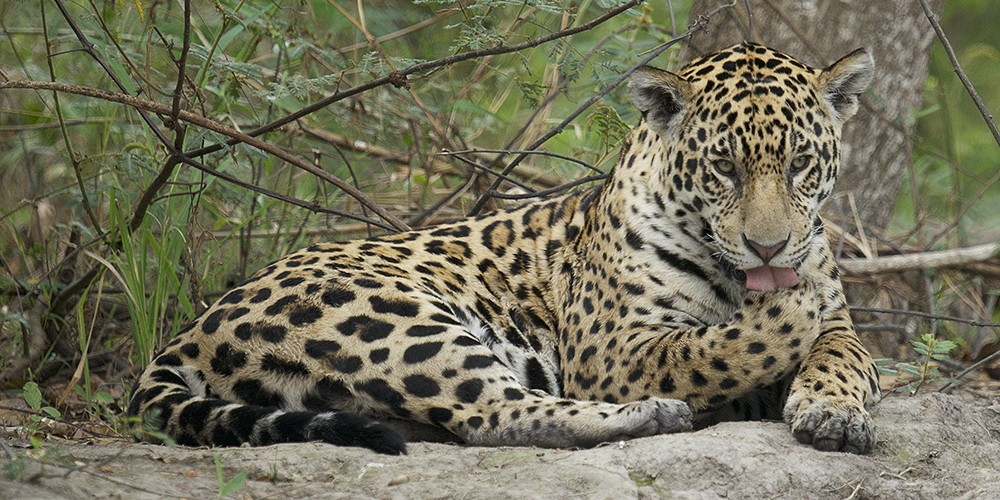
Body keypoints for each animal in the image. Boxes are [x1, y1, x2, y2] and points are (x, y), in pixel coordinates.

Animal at [127, 42, 881, 455]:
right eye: (723, 167)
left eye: (801, 163)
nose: (769, 248)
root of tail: (189, 331)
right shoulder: (616, 350)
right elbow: (710, 349)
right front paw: (783, 314)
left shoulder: (843, 325)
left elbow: (844, 354)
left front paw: (834, 413)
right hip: (396, 319)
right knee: (493, 413)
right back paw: (654, 415)